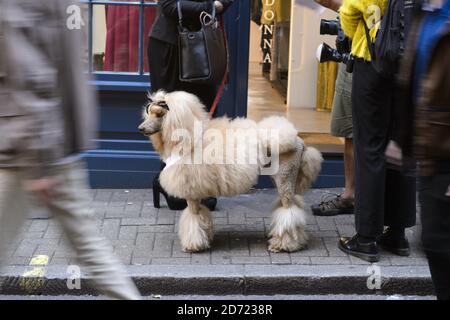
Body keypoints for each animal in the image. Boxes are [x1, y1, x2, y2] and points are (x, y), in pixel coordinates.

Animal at [139, 91, 322, 254]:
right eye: (149, 113)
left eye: (160, 114)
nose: (140, 128)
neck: (190, 139)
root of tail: (299, 140)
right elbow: (200, 216)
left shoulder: (190, 191)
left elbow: (193, 217)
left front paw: (193, 245)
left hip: (284, 177)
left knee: (288, 211)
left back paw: (284, 245)